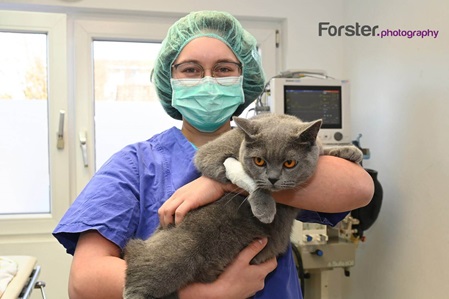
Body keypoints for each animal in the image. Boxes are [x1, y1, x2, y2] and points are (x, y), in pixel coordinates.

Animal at [124, 113, 362, 298]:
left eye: (289, 163)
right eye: (259, 161)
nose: (273, 179)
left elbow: (323, 150)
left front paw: (349, 151)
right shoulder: (212, 154)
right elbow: (241, 174)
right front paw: (264, 208)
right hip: (175, 254)